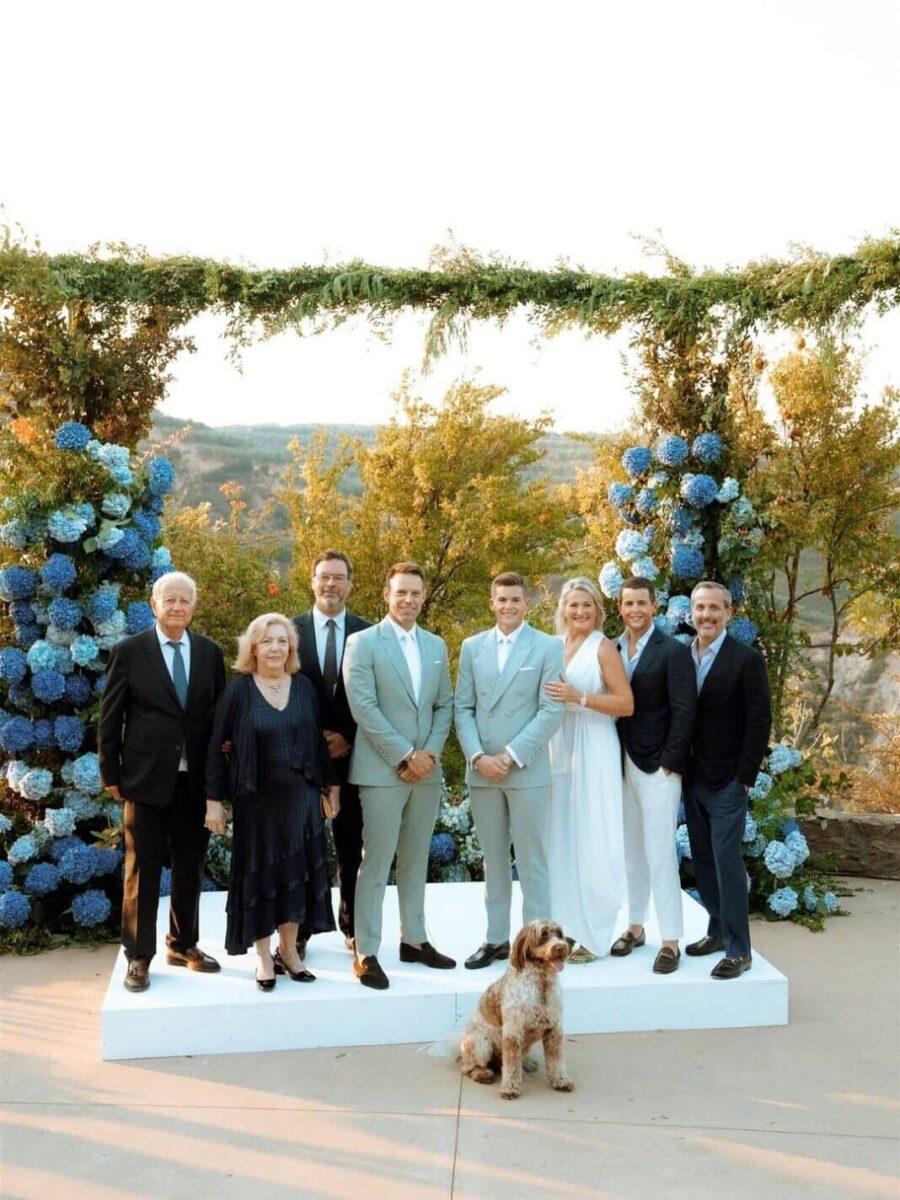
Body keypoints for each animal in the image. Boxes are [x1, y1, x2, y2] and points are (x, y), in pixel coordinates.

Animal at [459, 919, 574, 1100]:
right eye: (543, 935)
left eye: (559, 934)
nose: (561, 948)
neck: (541, 982)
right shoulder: (513, 1032)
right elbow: (511, 1065)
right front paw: (510, 1088)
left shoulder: (554, 1030)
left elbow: (556, 1060)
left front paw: (561, 1081)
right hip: (481, 1045)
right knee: (468, 1067)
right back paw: (482, 1074)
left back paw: (526, 1063)